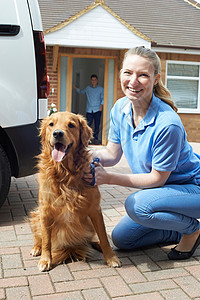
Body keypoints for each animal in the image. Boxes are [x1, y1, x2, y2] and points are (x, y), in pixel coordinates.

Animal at [29, 111, 120, 270]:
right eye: (51, 124)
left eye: (71, 125)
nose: (57, 133)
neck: (66, 174)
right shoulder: (45, 210)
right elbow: (46, 240)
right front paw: (45, 260)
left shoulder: (95, 209)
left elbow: (103, 236)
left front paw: (111, 257)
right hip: (36, 214)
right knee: (40, 237)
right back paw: (36, 248)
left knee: (94, 238)